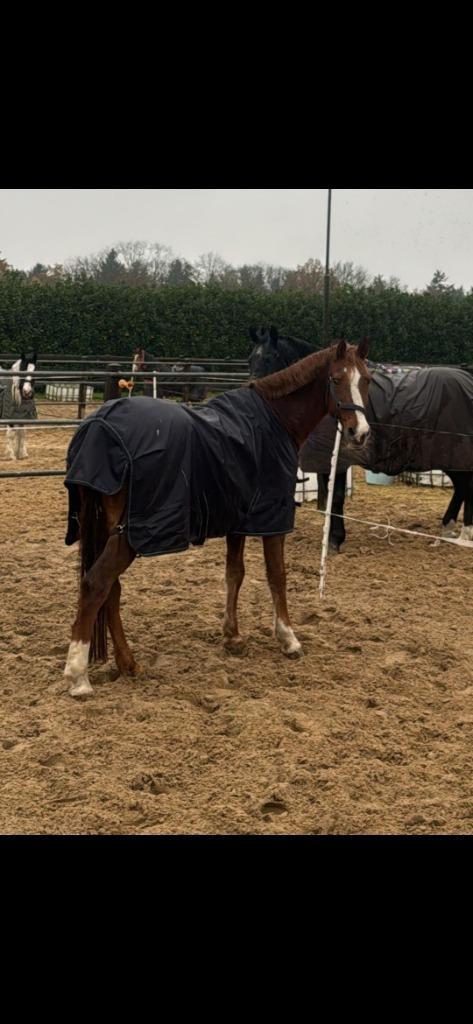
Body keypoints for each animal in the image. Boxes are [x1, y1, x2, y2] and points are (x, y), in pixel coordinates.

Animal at [63, 338, 371, 697]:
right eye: (336, 379)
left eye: (366, 380)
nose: (360, 432)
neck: (274, 420)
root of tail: (98, 427)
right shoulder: (272, 520)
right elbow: (277, 576)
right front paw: (288, 638)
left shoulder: (238, 520)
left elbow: (234, 574)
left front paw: (233, 636)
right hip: (130, 535)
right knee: (96, 584)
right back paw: (78, 676)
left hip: (112, 530)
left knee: (110, 589)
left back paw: (128, 663)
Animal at [248, 328, 473, 550]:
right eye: (251, 358)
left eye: (271, 356)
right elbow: (328, 494)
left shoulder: (339, 458)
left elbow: (336, 497)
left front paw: (335, 539)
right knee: (462, 485)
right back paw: (447, 528)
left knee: (467, 484)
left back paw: (465, 532)